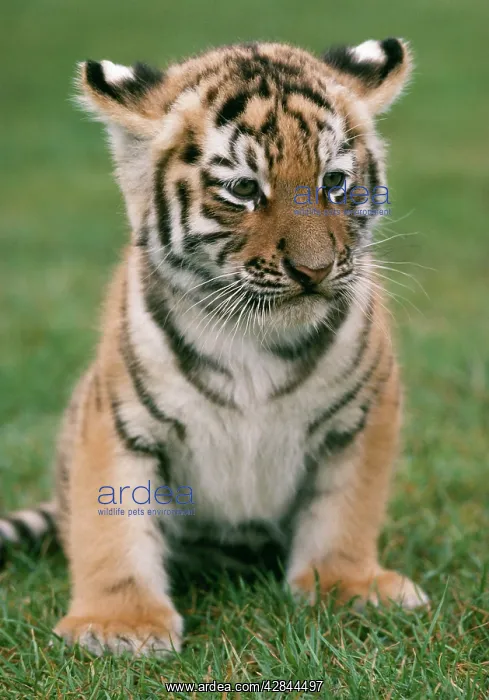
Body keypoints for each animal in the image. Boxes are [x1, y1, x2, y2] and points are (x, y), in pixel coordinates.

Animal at [0, 37, 428, 656]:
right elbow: (111, 527)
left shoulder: (365, 413)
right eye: (245, 189)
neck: (256, 335)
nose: (315, 271)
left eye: (333, 182)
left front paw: (348, 584)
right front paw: (120, 624)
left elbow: (347, 507)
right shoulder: (117, 419)